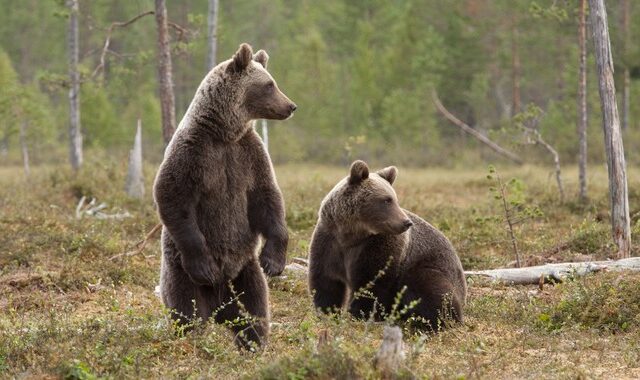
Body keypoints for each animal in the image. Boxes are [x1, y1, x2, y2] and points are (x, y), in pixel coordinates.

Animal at [154, 43, 296, 348]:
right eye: (269, 84)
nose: (291, 106)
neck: (224, 133)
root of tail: (219, 306)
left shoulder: (249, 154)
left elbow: (267, 198)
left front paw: (274, 261)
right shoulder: (194, 152)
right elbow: (173, 195)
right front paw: (204, 264)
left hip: (245, 273)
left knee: (255, 310)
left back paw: (254, 343)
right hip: (180, 273)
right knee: (187, 311)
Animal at [308, 160, 464, 330]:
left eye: (395, 199)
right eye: (387, 200)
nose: (406, 222)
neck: (351, 234)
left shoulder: (378, 246)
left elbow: (371, 283)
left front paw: (360, 315)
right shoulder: (329, 241)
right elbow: (326, 281)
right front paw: (328, 313)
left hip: (431, 267)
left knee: (428, 287)